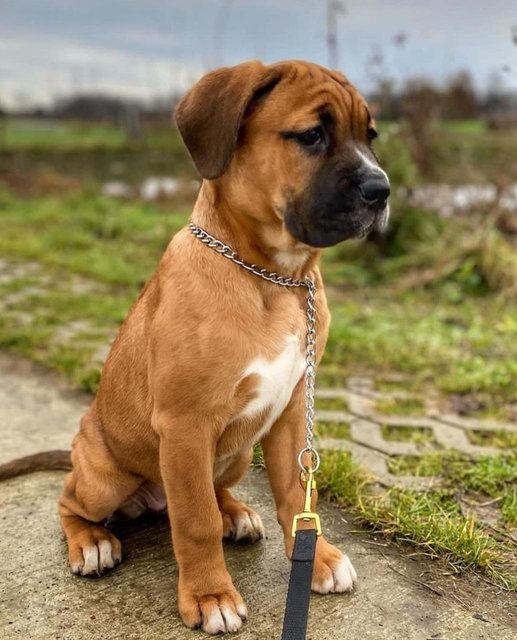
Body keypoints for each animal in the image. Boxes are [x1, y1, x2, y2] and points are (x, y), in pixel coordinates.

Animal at [55, 60, 388, 636]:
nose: (382, 189)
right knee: (72, 499)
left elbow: (295, 494)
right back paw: (92, 541)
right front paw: (210, 595)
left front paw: (317, 557)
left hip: (235, 455)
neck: (275, 277)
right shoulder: (186, 425)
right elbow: (194, 522)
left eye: (370, 136)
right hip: (104, 477)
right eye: (312, 134)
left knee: (215, 492)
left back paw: (236, 511)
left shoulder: (291, 412)